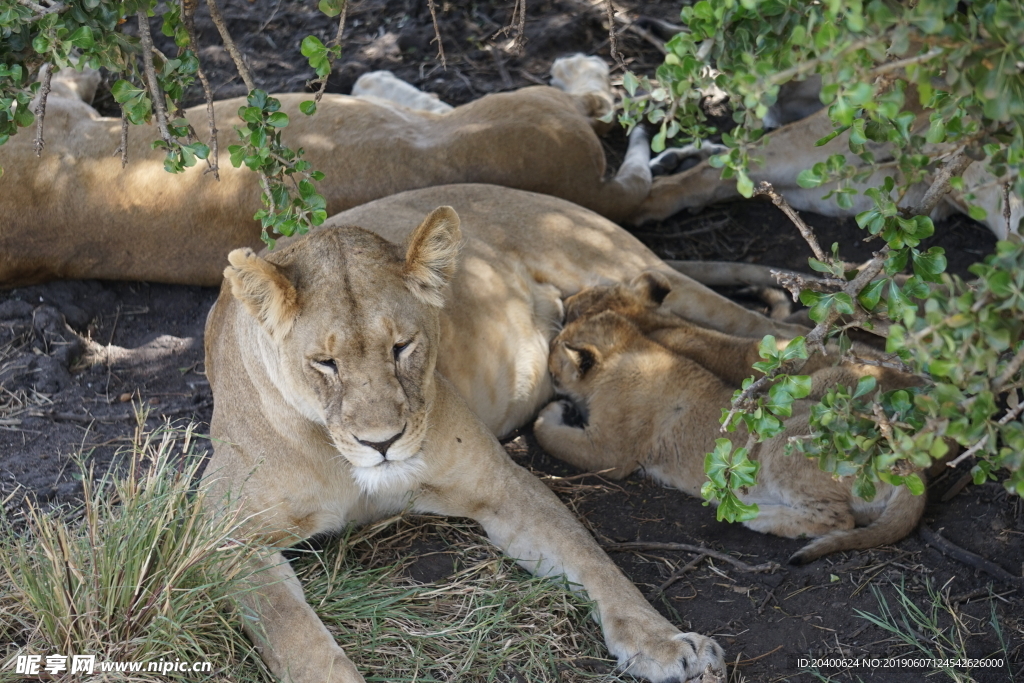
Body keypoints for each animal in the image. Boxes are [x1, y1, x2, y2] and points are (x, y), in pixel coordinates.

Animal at [532, 272, 925, 565]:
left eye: (553, 355)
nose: (562, 301)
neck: (637, 342)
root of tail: (909, 460)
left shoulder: (611, 454)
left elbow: (548, 435)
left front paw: (551, 412)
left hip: (788, 436)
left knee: (836, 518)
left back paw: (756, 516)